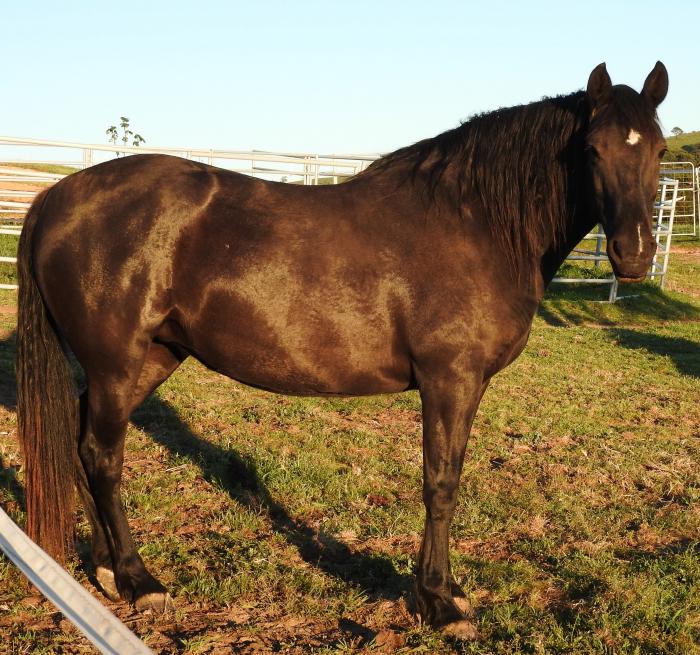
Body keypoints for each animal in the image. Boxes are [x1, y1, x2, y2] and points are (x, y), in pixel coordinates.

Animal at [16, 62, 668, 639]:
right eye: (592, 150)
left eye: (660, 150)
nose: (634, 255)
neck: (476, 221)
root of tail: (57, 196)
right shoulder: (450, 379)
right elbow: (441, 482)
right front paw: (437, 601)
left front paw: (445, 592)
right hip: (116, 363)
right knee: (103, 456)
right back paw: (138, 579)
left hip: (150, 359)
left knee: (82, 442)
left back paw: (106, 570)